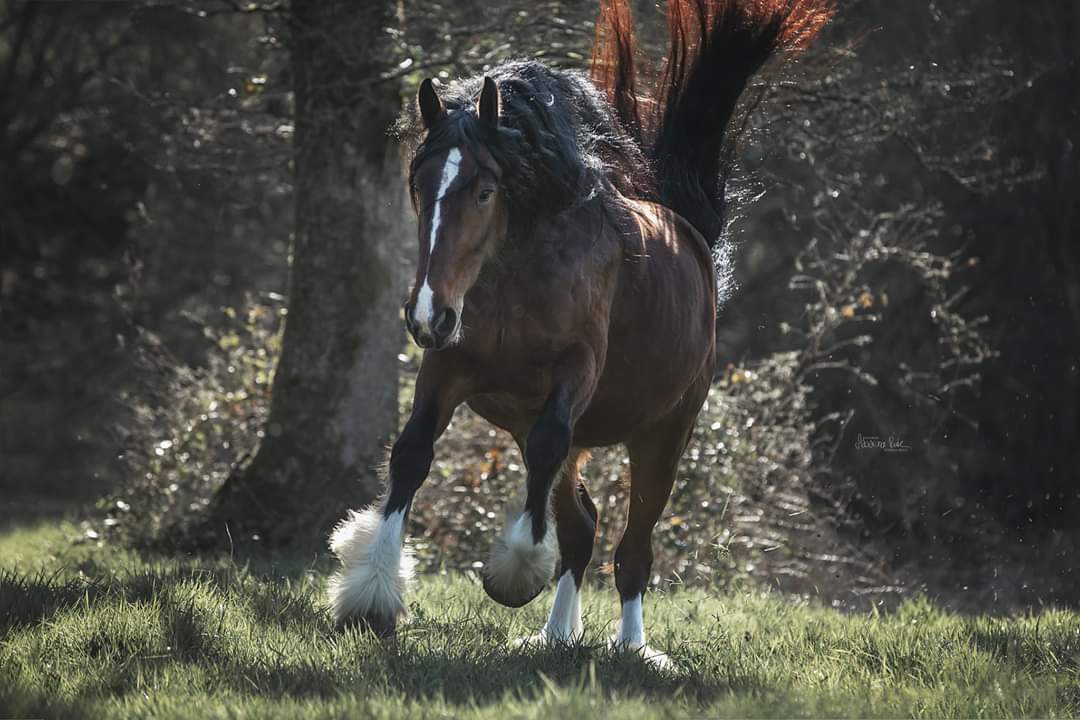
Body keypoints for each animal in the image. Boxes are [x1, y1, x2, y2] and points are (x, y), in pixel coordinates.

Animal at [324, 0, 829, 664]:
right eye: (418, 186)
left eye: (485, 190)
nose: (427, 314)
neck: (517, 274)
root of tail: (692, 233)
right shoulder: (447, 368)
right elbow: (410, 456)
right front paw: (371, 596)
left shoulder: (573, 373)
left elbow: (546, 455)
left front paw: (514, 573)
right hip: (553, 426)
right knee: (581, 525)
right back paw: (556, 634)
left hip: (666, 431)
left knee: (633, 545)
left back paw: (633, 647)